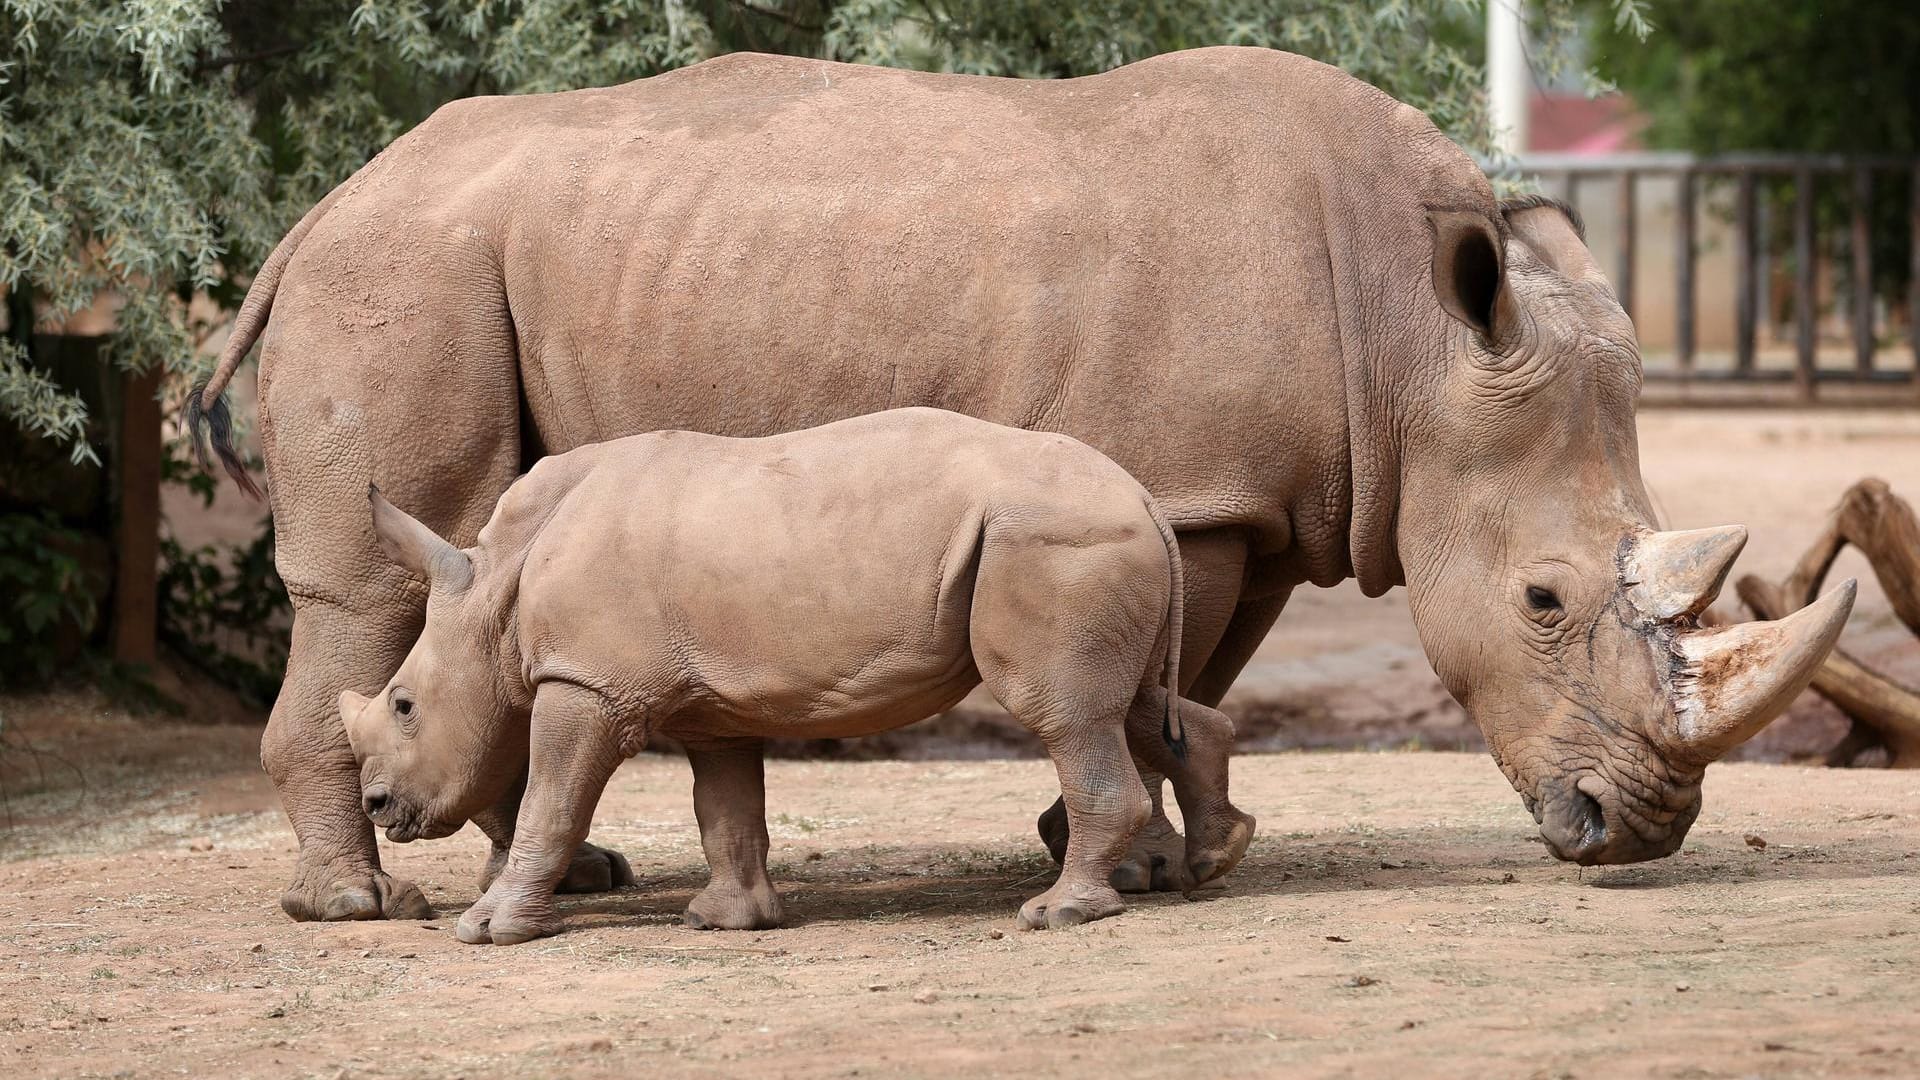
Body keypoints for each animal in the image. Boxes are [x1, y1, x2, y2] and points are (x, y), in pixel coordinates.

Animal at [336, 407, 1251, 937]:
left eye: (405, 705)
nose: (378, 804)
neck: (495, 596)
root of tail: (1143, 496)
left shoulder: (587, 683)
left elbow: (551, 803)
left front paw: (487, 929)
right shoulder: (708, 700)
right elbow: (725, 807)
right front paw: (728, 922)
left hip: (1053, 539)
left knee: (1062, 713)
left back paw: (1057, 914)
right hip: (1088, 541)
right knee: (1132, 704)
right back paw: (1216, 859)